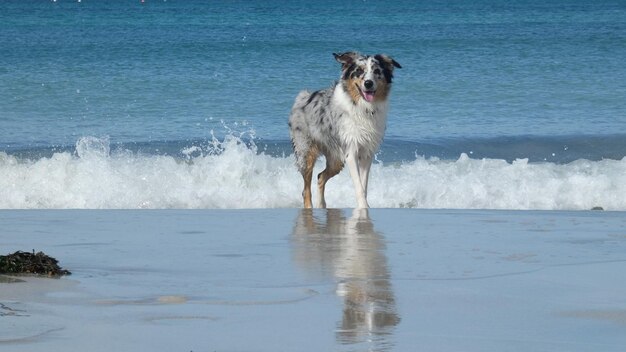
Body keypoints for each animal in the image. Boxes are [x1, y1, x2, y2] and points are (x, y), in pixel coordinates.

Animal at [288, 51, 400, 208]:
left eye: (377, 71)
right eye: (358, 71)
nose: (368, 83)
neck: (362, 107)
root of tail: (303, 97)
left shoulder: (367, 153)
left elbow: (364, 184)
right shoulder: (351, 151)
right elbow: (359, 185)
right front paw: (363, 207)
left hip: (336, 159)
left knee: (320, 176)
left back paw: (322, 206)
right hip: (306, 152)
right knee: (306, 189)